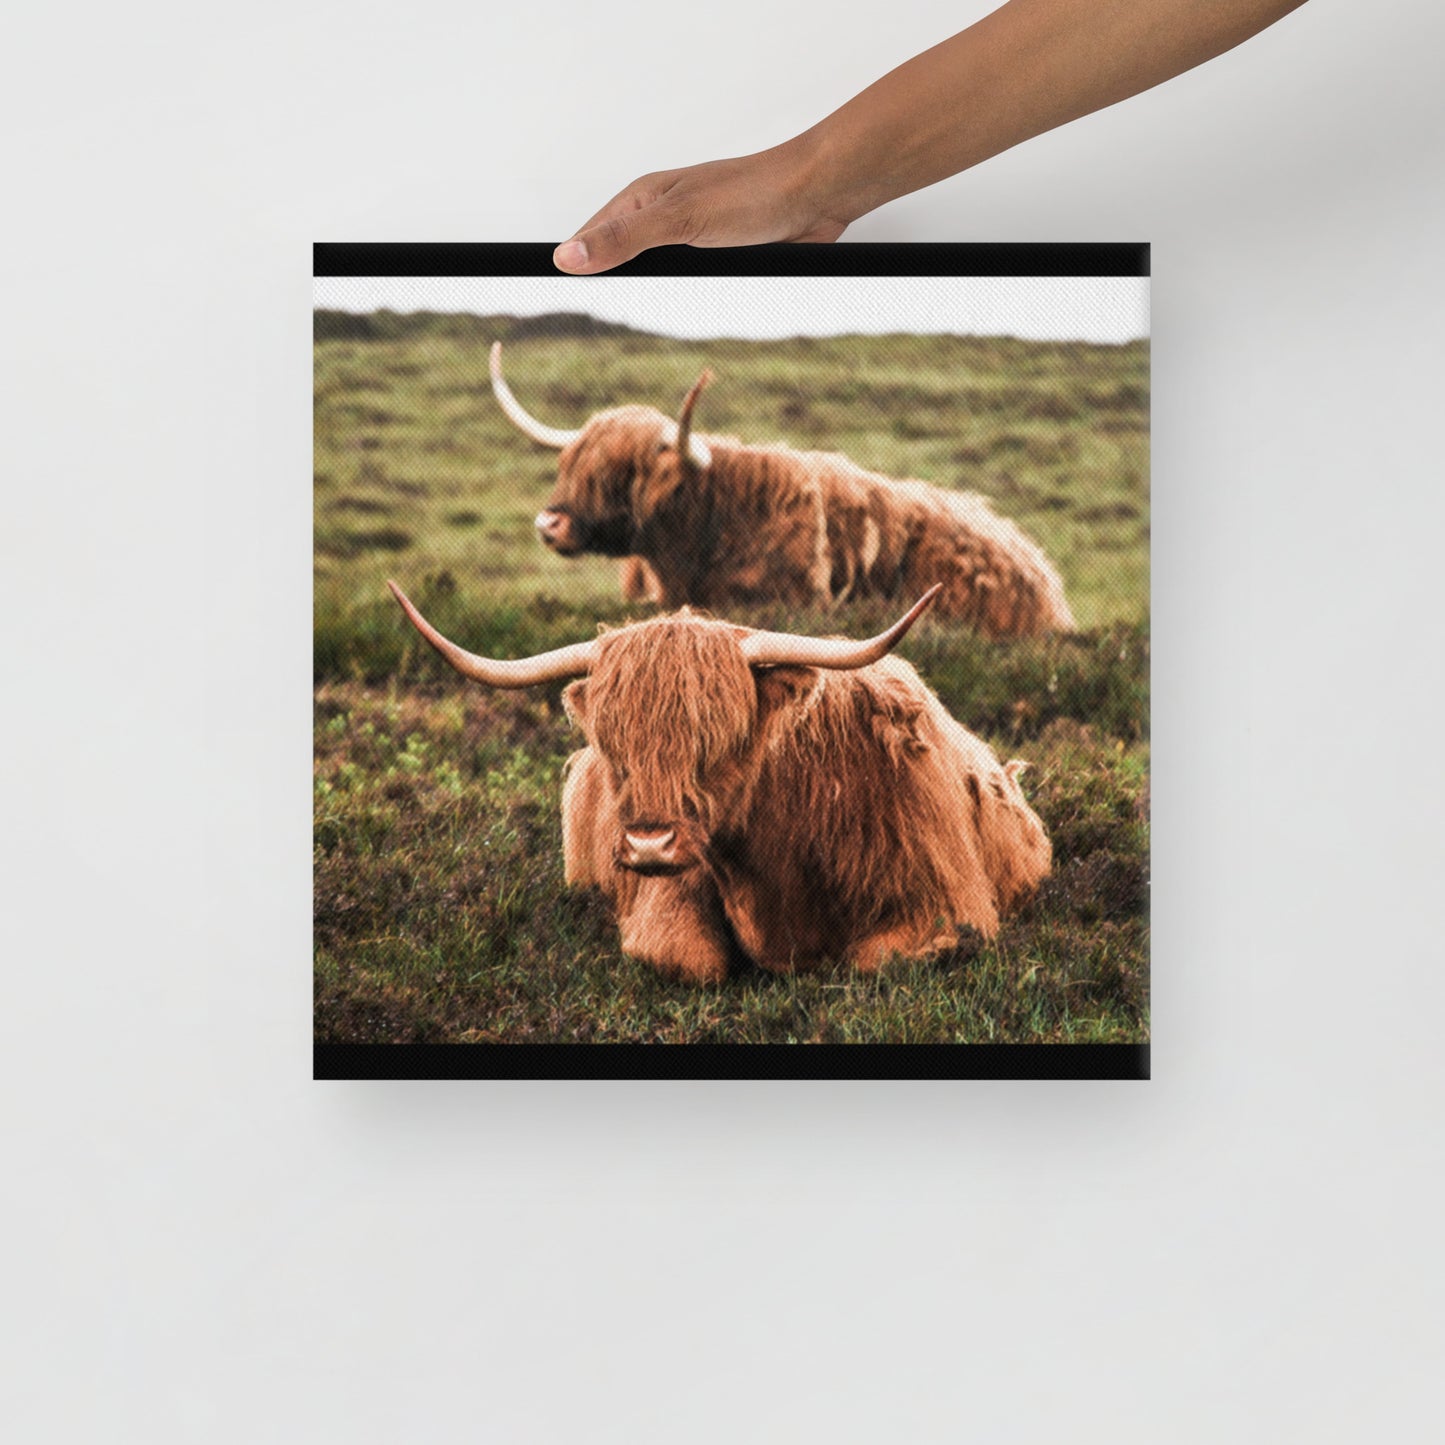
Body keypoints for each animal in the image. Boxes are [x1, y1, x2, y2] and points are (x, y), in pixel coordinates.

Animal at [389, 579, 1052, 984]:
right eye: (615, 746)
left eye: (716, 740)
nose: (649, 844)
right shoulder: (667, 900)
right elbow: (690, 960)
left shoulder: (946, 908)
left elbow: (872, 959)